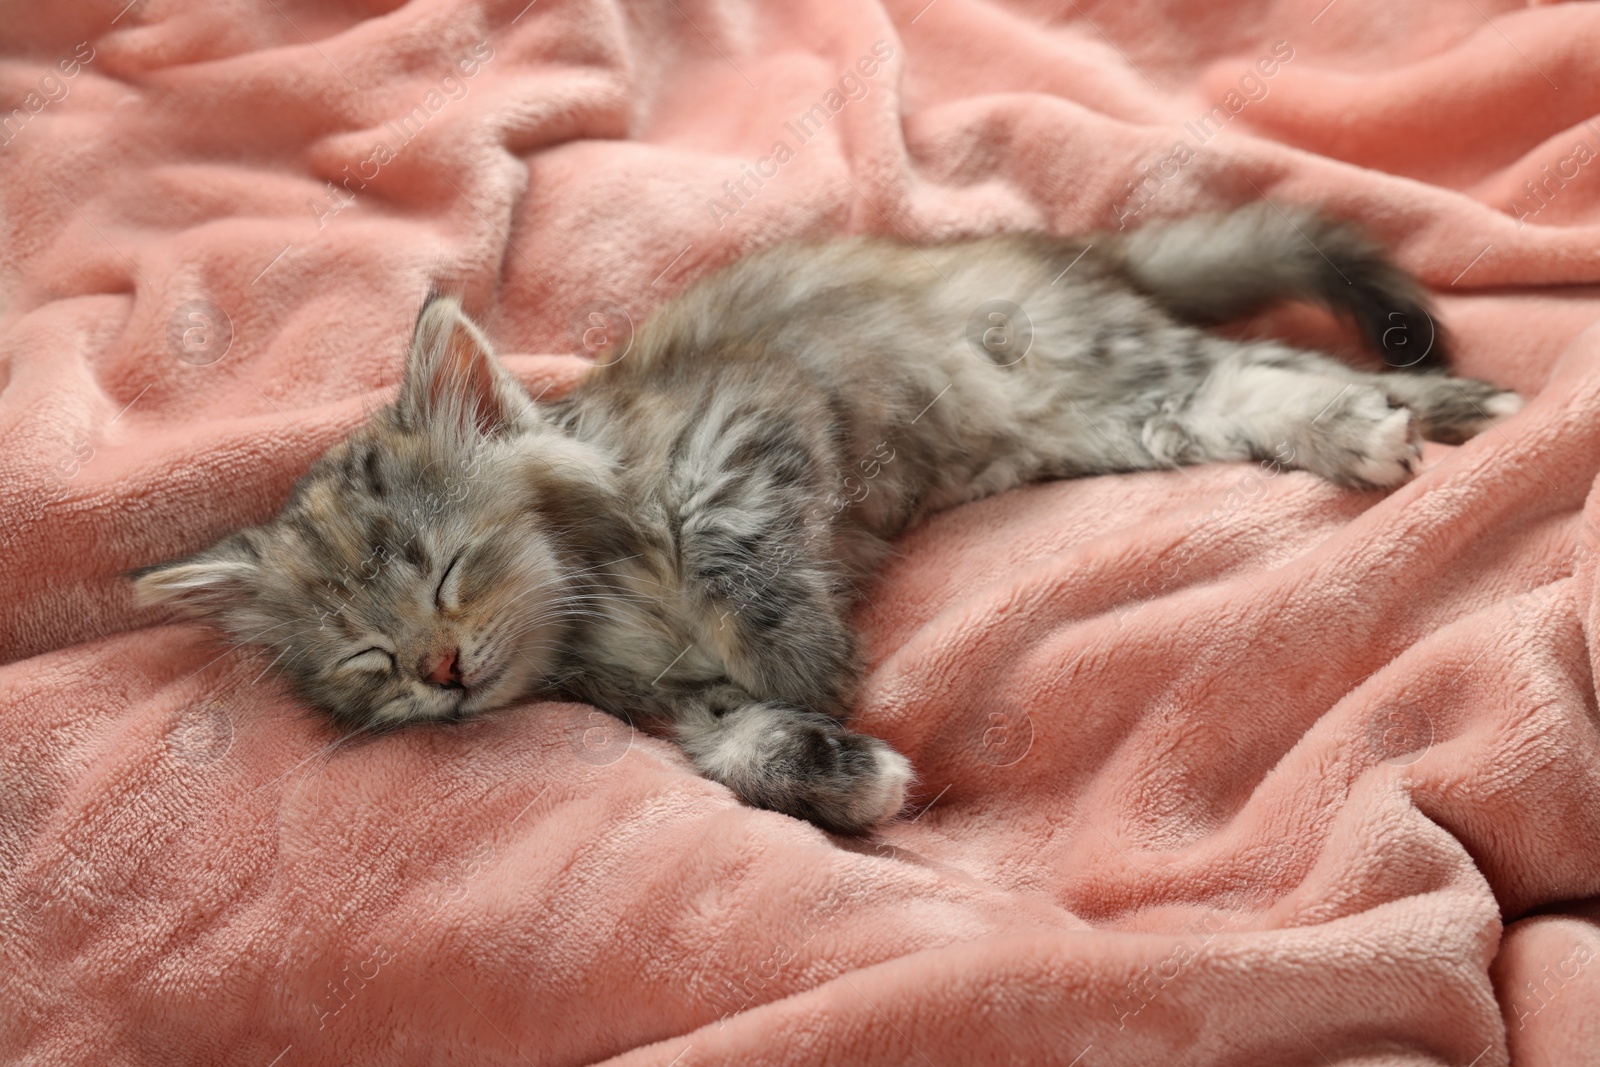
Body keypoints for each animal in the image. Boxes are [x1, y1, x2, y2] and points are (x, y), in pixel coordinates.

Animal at [134, 199, 1510, 831]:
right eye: (369, 658)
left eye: (446, 570)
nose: (444, 670)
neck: (594, 611)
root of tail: (1071, 247)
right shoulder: (666, 711)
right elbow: (741, 750)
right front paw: (851, 776)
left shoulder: (745, 432)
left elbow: (734, 558)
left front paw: (804, 655)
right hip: (1126, 419)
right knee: (1265, 381)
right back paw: (1413, 411)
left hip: (1094, 366)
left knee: (1272, 370)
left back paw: (1425, 412)